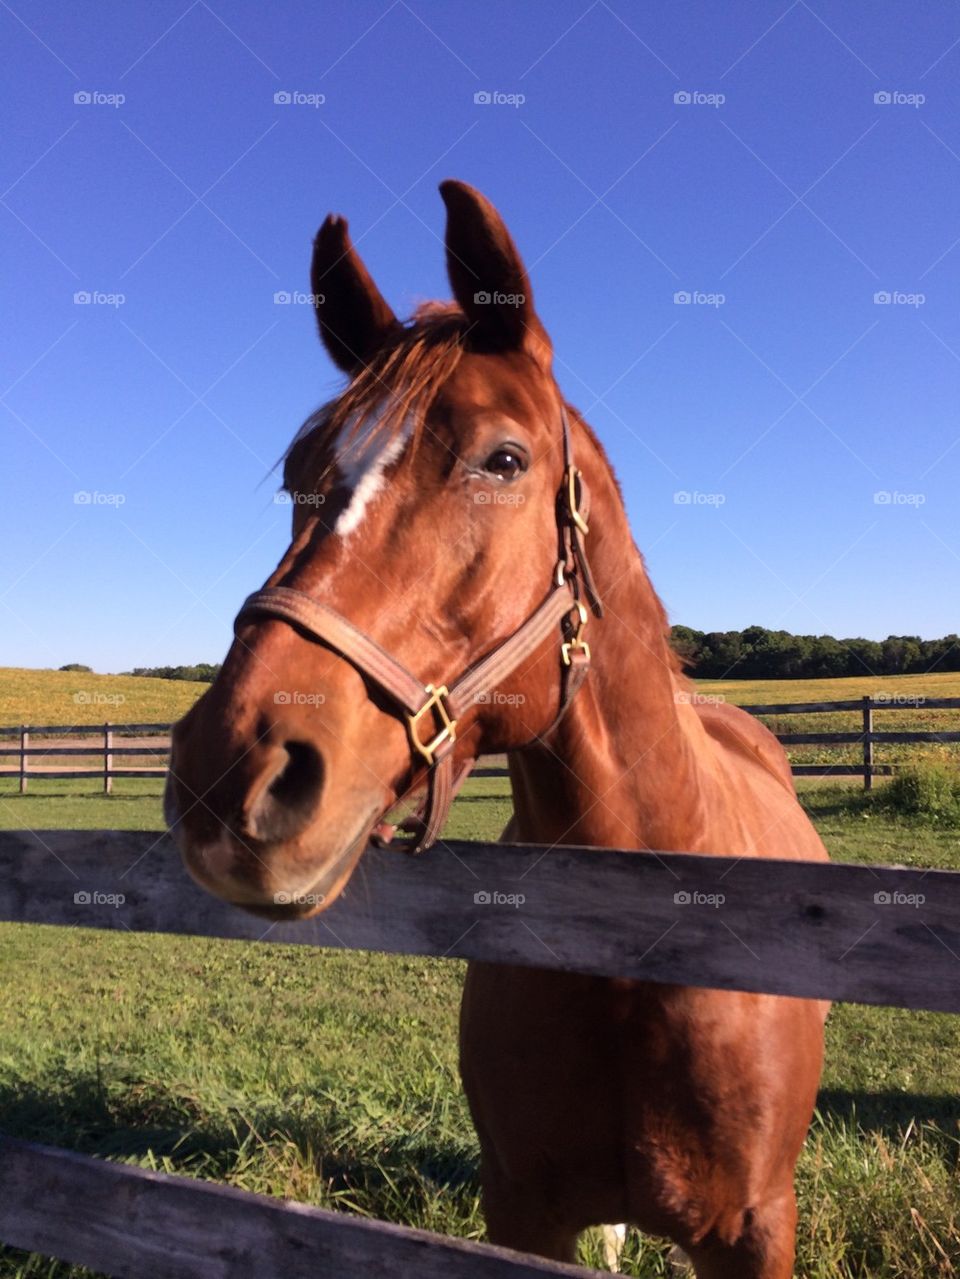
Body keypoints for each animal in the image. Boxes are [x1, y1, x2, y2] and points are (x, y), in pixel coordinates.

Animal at [165, 179, 829, 1278]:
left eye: (503, 459)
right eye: (301, 472)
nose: (233, 775)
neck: (641, 948)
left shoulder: (754, 1228)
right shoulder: (521, 1208)